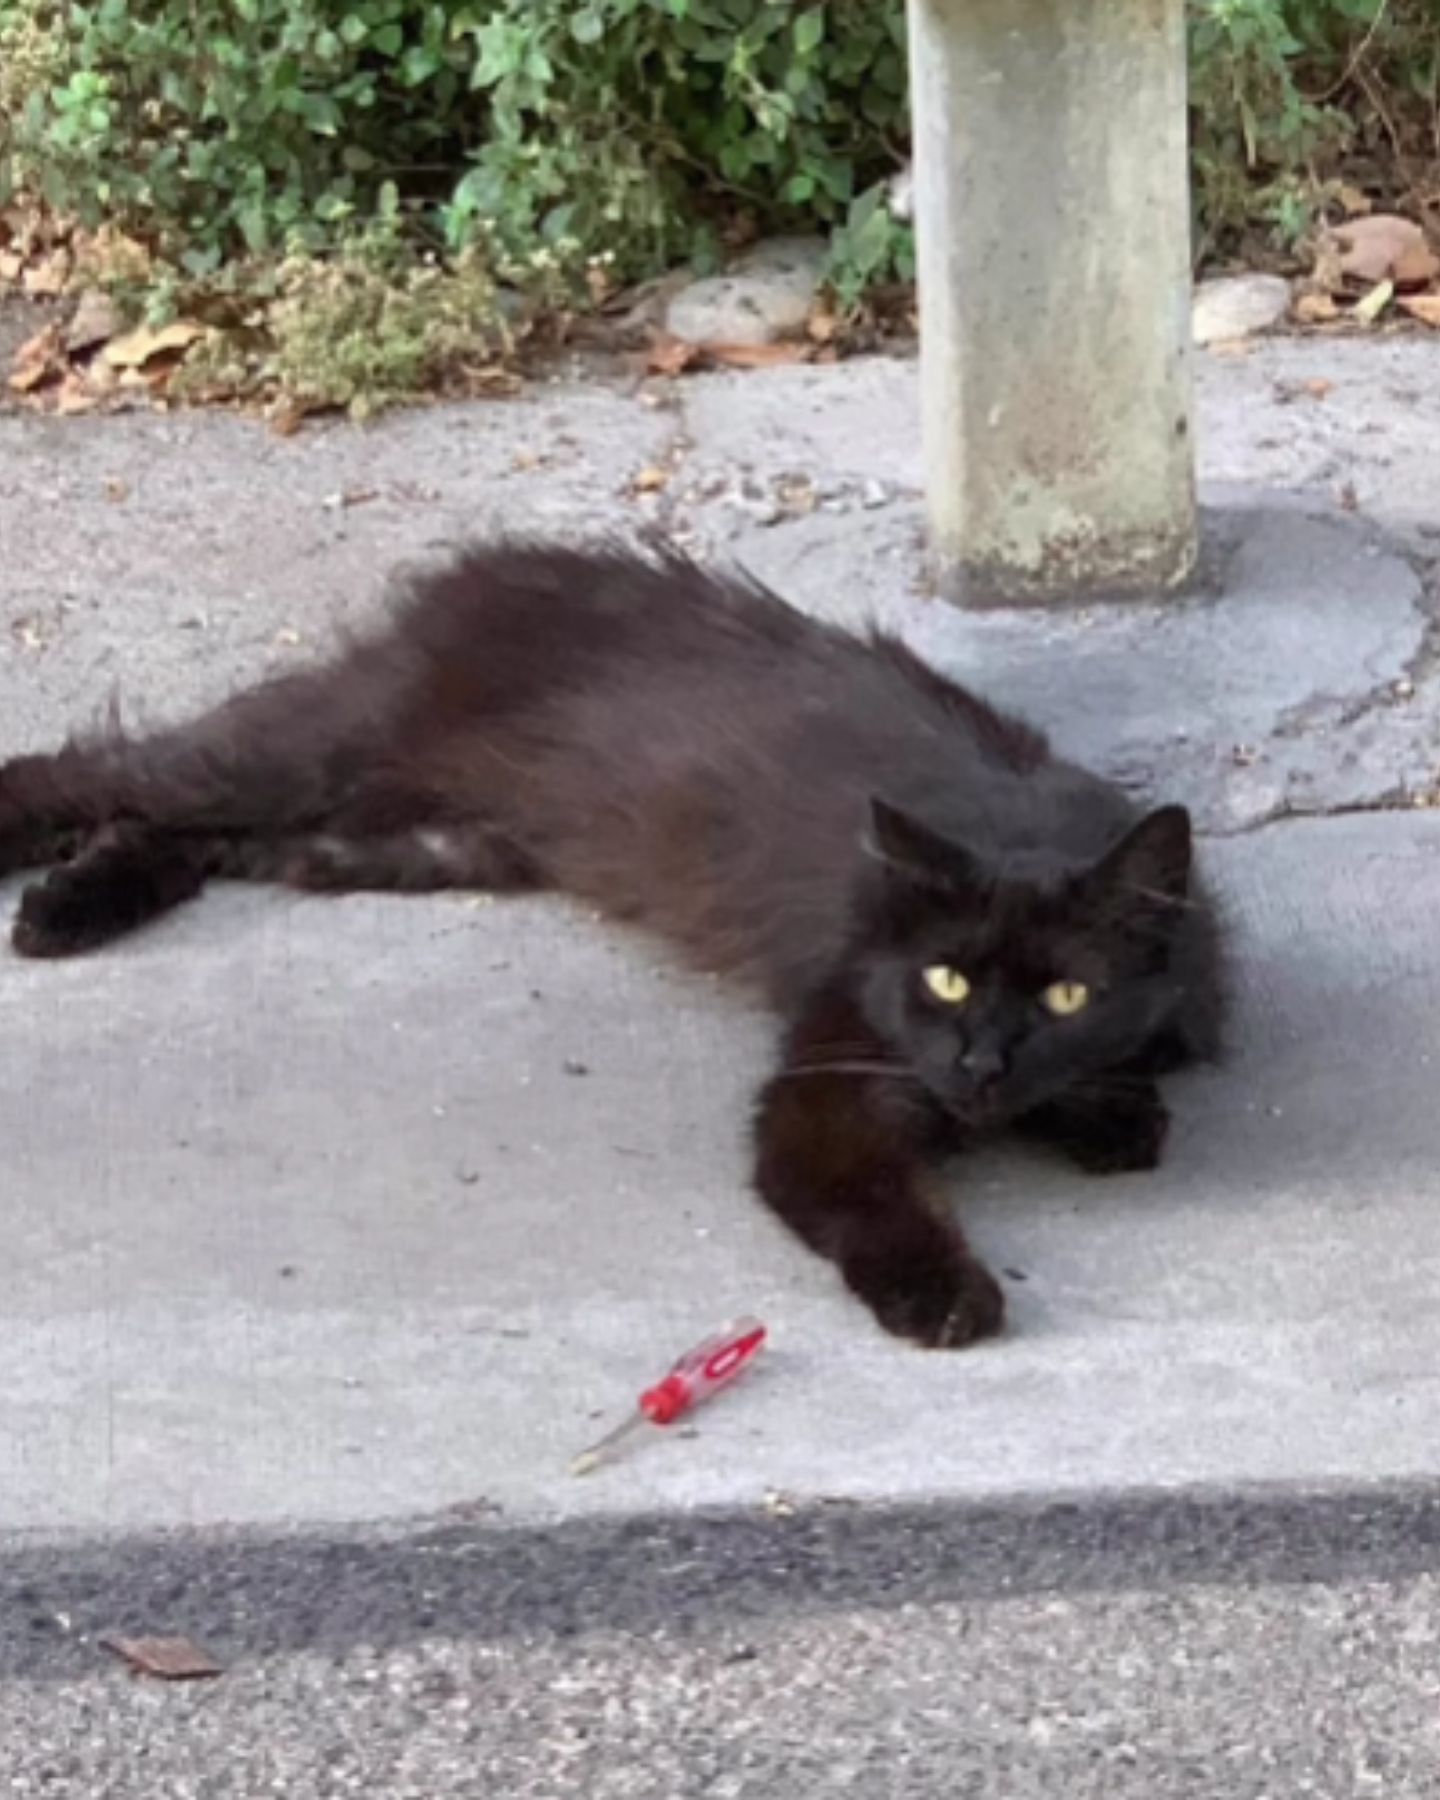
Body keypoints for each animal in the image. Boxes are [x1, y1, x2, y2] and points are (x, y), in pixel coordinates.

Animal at [0, 540, 1224, 1346]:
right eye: (946, 979)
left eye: (1067, 997)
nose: (980, 1061)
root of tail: (493, 570)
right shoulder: (829, 1086)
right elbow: (879, 1198)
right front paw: (945, 1296)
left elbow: (1134, 1076)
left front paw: (1106, 1110)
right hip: (315, 749)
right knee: (104, 773)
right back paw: (48, 888)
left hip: (410, 833)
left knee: (185, 833)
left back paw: (75, 903)